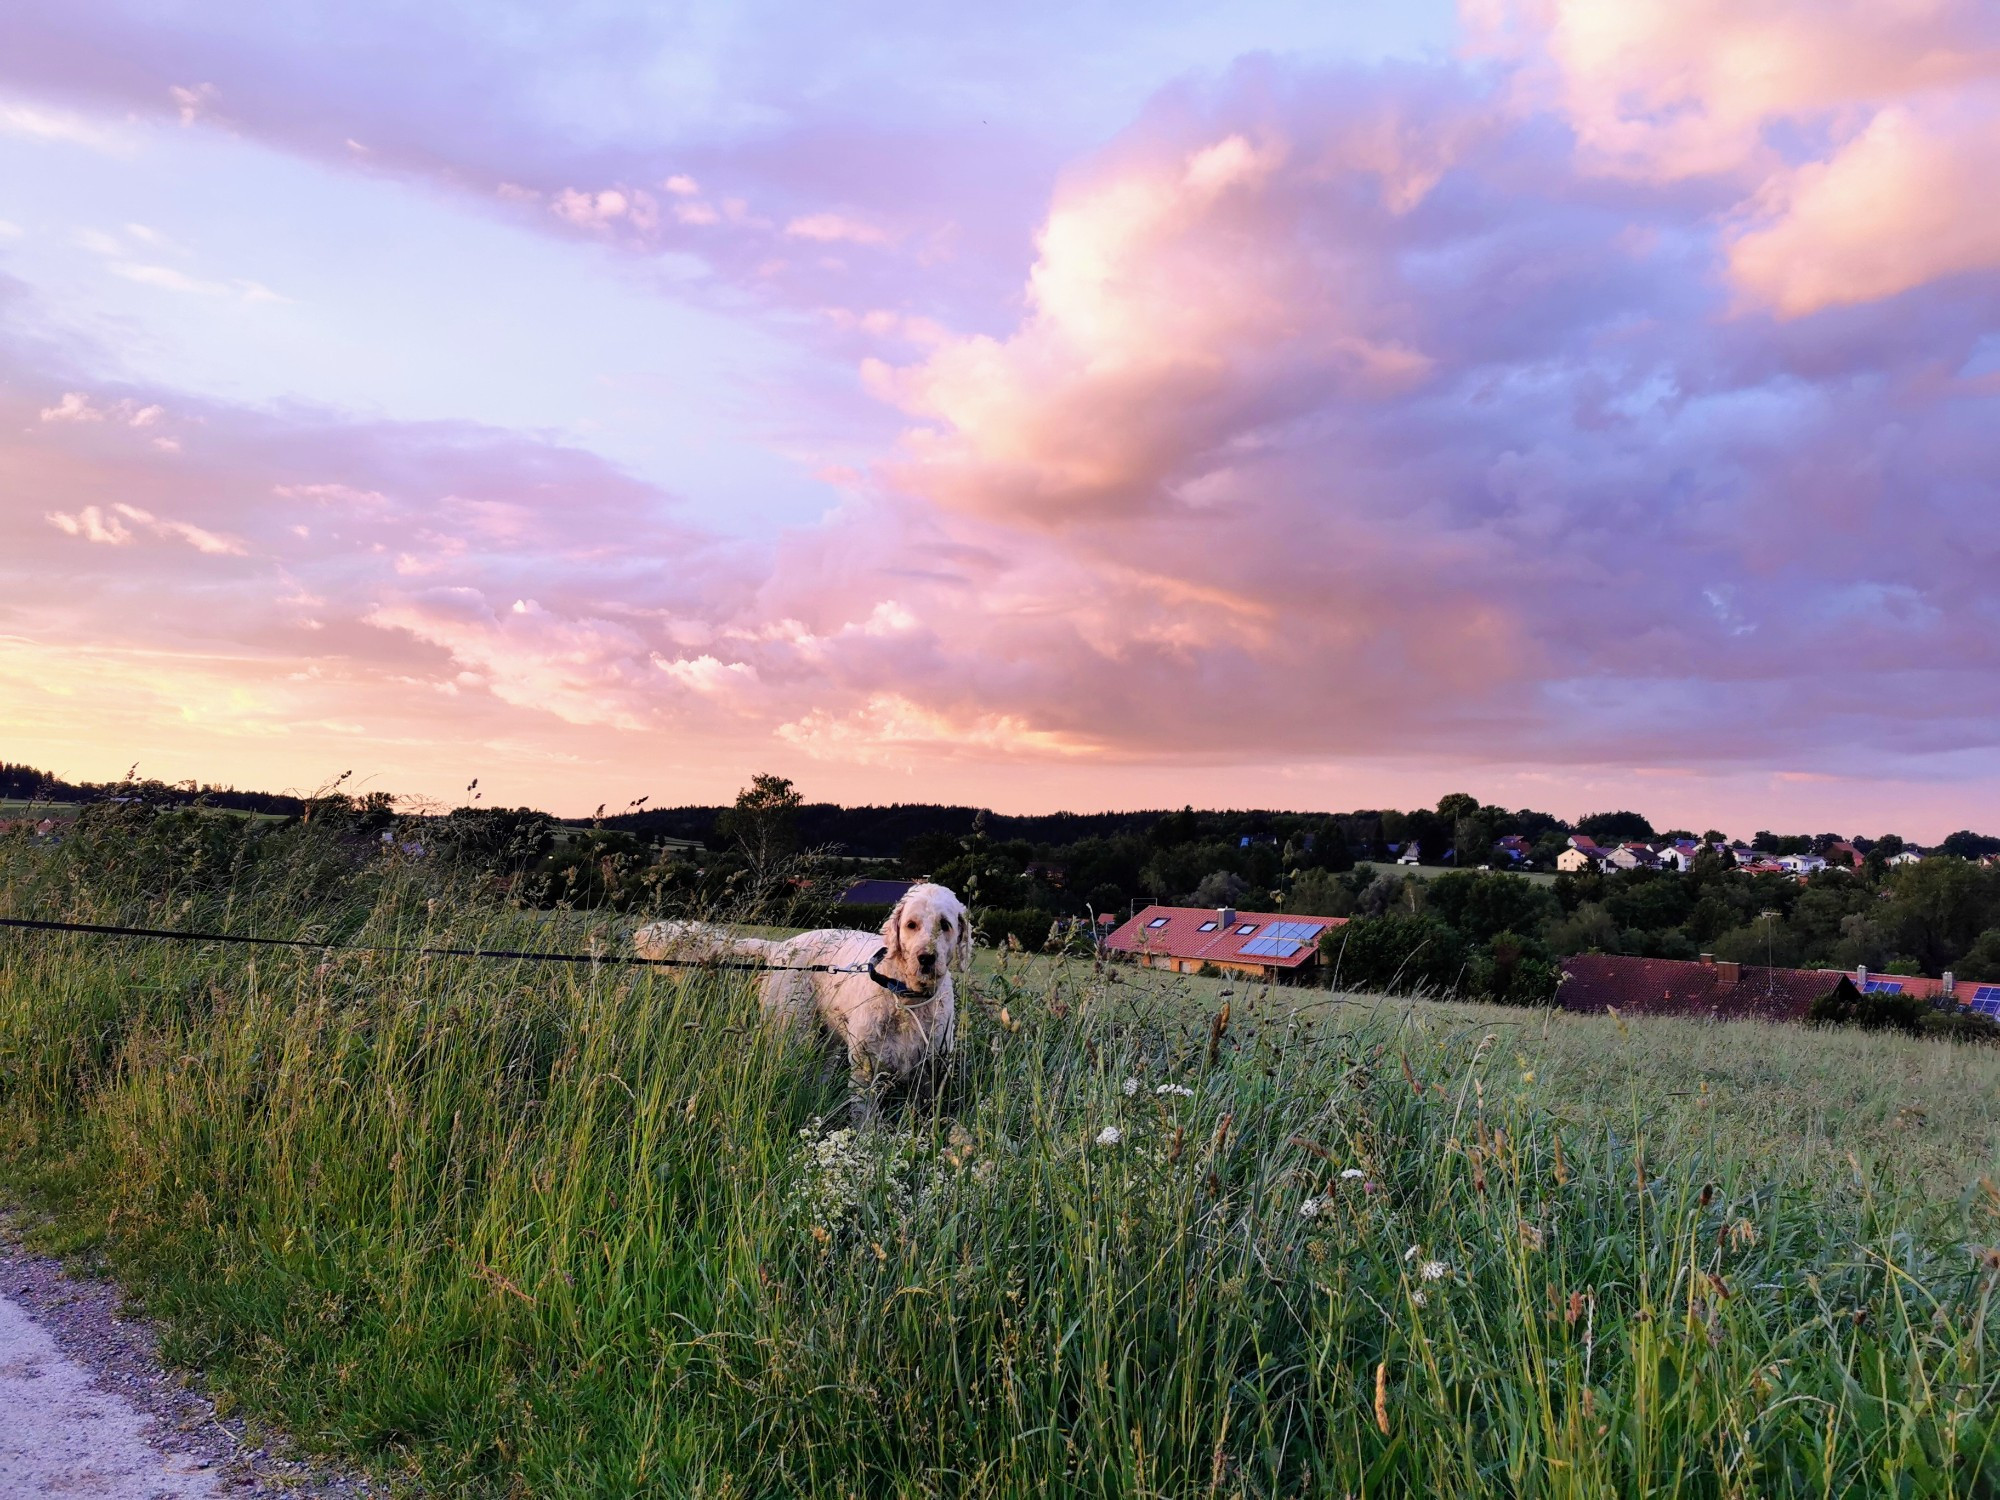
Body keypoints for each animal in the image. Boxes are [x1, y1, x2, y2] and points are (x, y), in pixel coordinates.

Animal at [624, 880, 968, 1120]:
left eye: (945, 925)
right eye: (911, 925)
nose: (926, 958)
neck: (907, 999)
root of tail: (780, 948)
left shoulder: (931, 1072)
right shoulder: (866, 1070)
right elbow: (865, 1122)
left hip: (828, 1039)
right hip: (793, 1032)